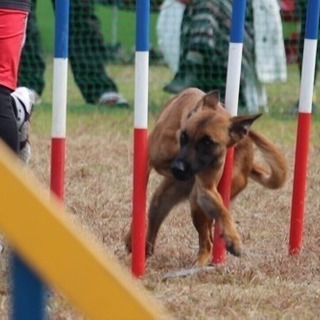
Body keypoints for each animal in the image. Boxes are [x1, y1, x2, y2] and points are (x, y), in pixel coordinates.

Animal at [125, 88, 288, 268]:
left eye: (208, 142)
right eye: (184, 136)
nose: (178, 169)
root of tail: (250, 162)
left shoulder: (207, 189)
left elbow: (224, 212)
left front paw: (233, 239)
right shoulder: (148, 161)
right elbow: (138, 202)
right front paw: (132, 235)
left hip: (197, 203)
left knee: (207, 241)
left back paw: (199, 264)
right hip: (163, 199)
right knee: (156, 219)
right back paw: (142, 249)